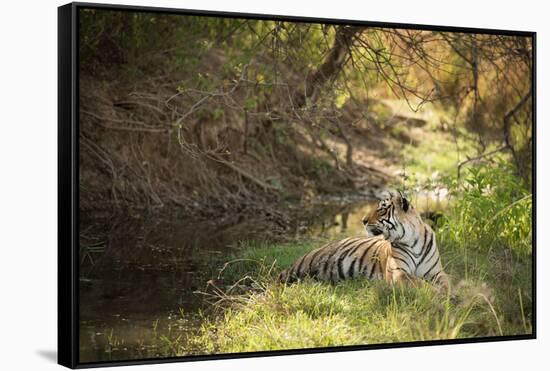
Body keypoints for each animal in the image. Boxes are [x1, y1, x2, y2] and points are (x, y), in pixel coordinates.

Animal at [278, 192, 450, 294]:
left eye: (381, 209)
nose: (363, 220)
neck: (412, 239)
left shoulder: (437, 272)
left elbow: (446, 282)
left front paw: (448, 292)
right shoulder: (398, 272)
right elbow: (418, 282)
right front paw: (435, 292)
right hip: (305, 265)